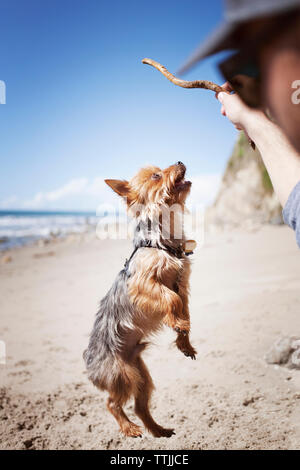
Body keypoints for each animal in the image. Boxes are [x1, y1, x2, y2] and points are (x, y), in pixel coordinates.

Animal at [83, 162, 198, 436]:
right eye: (156, 175)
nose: (180, 162)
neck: (163, 239)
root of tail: (89, 363)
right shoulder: (144, 284)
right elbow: (172, 300)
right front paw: (178, 324)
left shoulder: (183, 284)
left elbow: (184, 308)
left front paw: (184, 341)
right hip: (122, 375)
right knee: (112, 403)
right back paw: (129, 428)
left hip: (140, 373)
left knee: (140, 406)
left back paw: (158, 430)